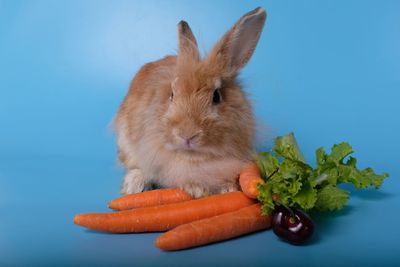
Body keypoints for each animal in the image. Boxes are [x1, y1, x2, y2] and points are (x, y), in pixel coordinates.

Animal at [114, 6, 268, 199]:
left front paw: (228, 188)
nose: (187, 135)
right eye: (172, 95)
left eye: (216, 96)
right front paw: (196, 189)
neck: (195, 157)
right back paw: (134, 185)